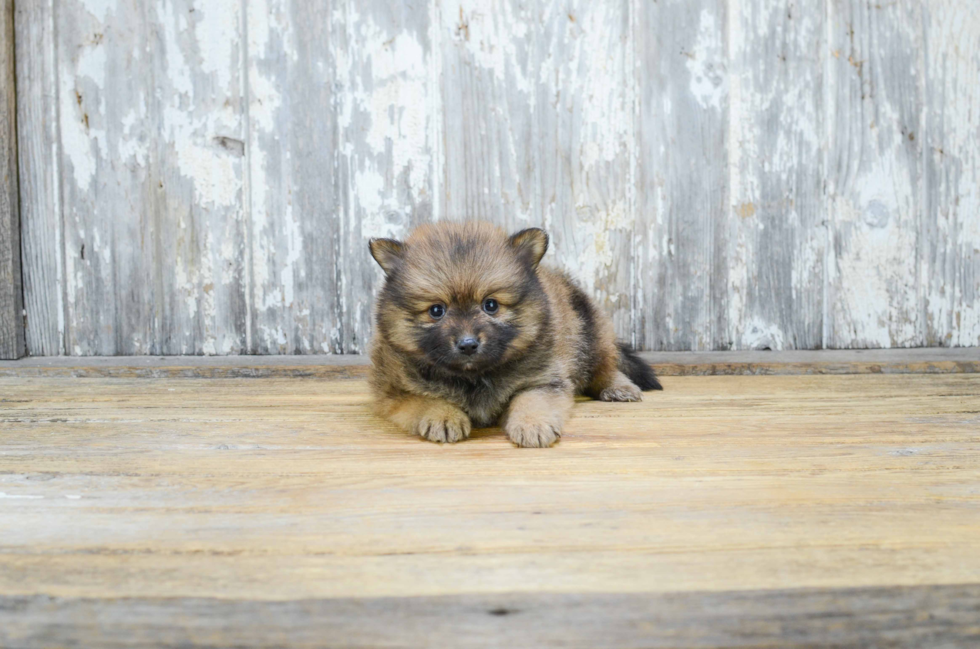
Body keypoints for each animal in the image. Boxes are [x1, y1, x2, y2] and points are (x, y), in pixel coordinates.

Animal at [370, 220, 668, 448]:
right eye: (436, 311)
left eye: (490, 305)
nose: (468, 344)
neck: (475, 376)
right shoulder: (395, 390)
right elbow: (425, 400)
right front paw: (443, 416)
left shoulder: (542, 379)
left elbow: (532, 400)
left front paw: (532, 424)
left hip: (590, 333)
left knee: (605, 366)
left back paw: (619, 387)